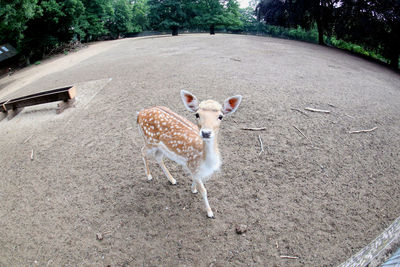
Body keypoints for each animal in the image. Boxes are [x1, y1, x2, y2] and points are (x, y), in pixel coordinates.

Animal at [138, 91, 242, 219]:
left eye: (220, 116)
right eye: (197, 114)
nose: (206, 133)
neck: (206, 162)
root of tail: (139, 115)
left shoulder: (196, 169)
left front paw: (193, 189)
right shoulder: (192, 165)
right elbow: (204, 190)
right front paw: (210, 213)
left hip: (159, 146)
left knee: (158, 157)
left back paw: (172, 180)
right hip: (149, 140)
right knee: (142, 151)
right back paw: (149, 176)